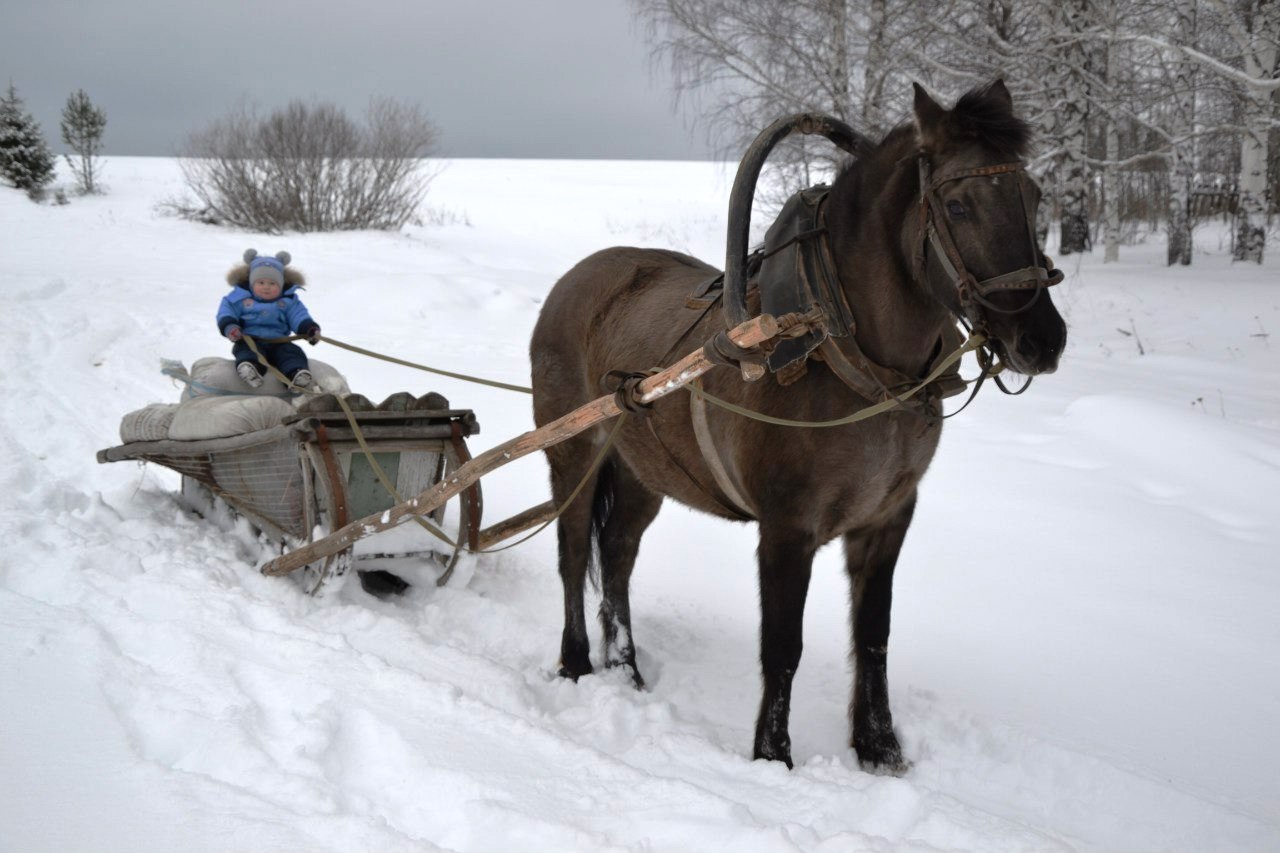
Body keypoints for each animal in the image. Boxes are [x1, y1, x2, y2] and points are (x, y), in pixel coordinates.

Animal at [524, 81, 1064, 768]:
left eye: (1034, 195)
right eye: (959, 205)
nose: (1043, 339)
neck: (839, 346)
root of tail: (576, 279)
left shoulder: (887, 519)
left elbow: (874, 635)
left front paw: (879, 748)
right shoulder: (787, 528)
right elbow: (784, 646)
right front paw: (772, 755)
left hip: (645, 470)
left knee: (617, 556)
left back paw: (628, 671)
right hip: (574, 453)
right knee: (572, 554)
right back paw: (575, 665)